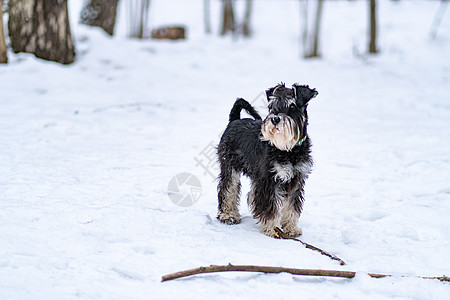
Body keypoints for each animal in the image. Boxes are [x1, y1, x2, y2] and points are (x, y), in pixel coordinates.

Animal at [217, 82, 316, 237]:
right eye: (271, 106)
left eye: (292, 105)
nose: (275, 119)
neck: (290, 149)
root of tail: (234, 120)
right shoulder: (269, 180)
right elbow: (271, 205)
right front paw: (272, 229)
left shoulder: (296, 180)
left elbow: (292, 207)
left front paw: (291, 228)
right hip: (230, 168)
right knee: (228, 190)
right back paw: (228, 216)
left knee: (251, 193)